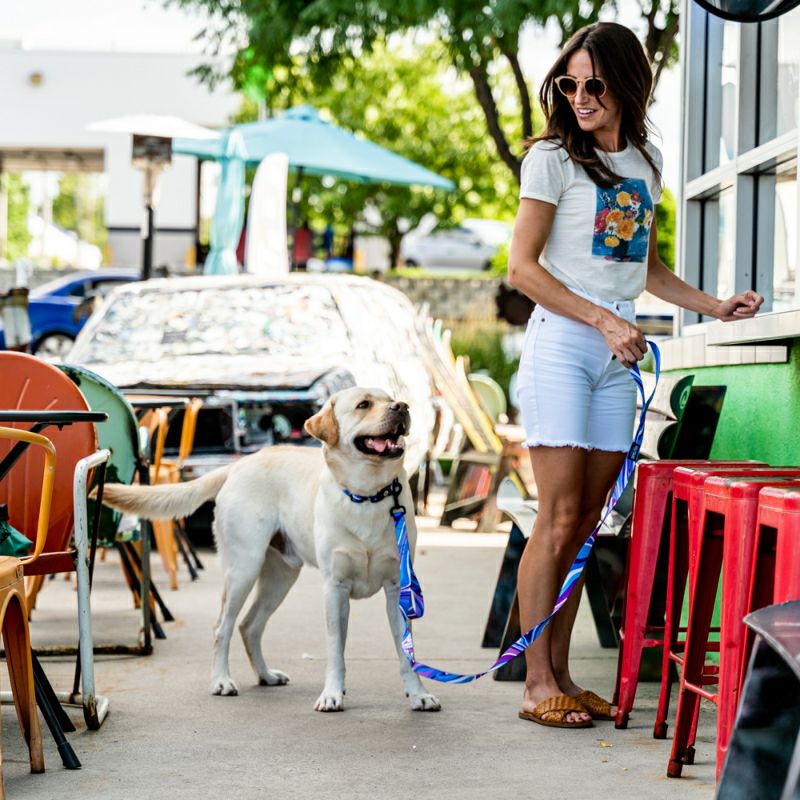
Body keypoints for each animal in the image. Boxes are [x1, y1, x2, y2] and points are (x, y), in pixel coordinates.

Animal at [100, 387, 441, 713]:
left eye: (391, 398)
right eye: (364, 404)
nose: (402, 407)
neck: (368, 495)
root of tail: (240, 463)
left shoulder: (398, 589)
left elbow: (407, 652)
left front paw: (418, 695)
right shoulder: (335, 587)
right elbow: (335, 649)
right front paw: (332, 695)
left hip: (281, 576)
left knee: (249, 626)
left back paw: (265, 675)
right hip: (243, 569)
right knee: (222, 626)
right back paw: (221, 680)